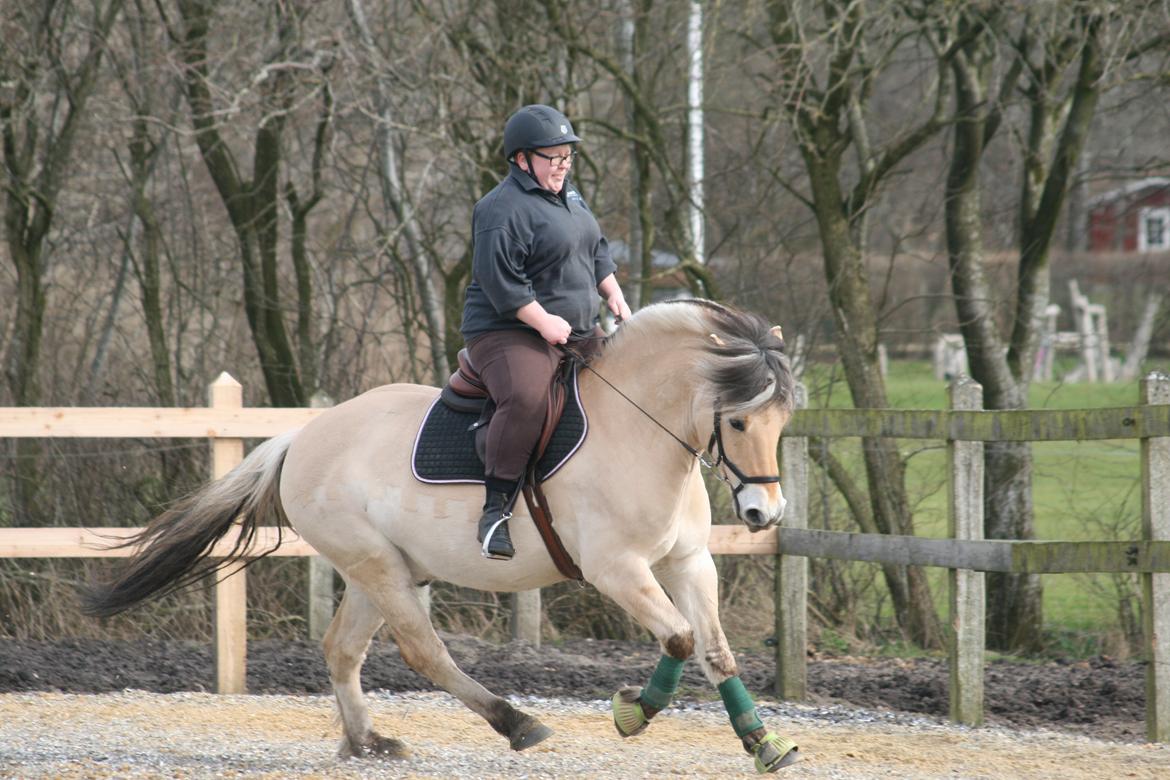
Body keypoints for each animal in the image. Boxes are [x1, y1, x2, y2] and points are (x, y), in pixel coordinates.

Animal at [80, 299, 795, 776]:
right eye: (737, 421)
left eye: (783, 419)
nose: (765, 514)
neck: (638, 429)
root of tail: (302, 436)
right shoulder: (617, 570)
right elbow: (679, 638)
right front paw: (632, 712)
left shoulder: (688, 562)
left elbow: (715, 651)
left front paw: (764, 744)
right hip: (378, 568)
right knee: (423, 652)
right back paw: (515, 722)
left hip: (377, 572)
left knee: (343, 650)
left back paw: (367, 743)